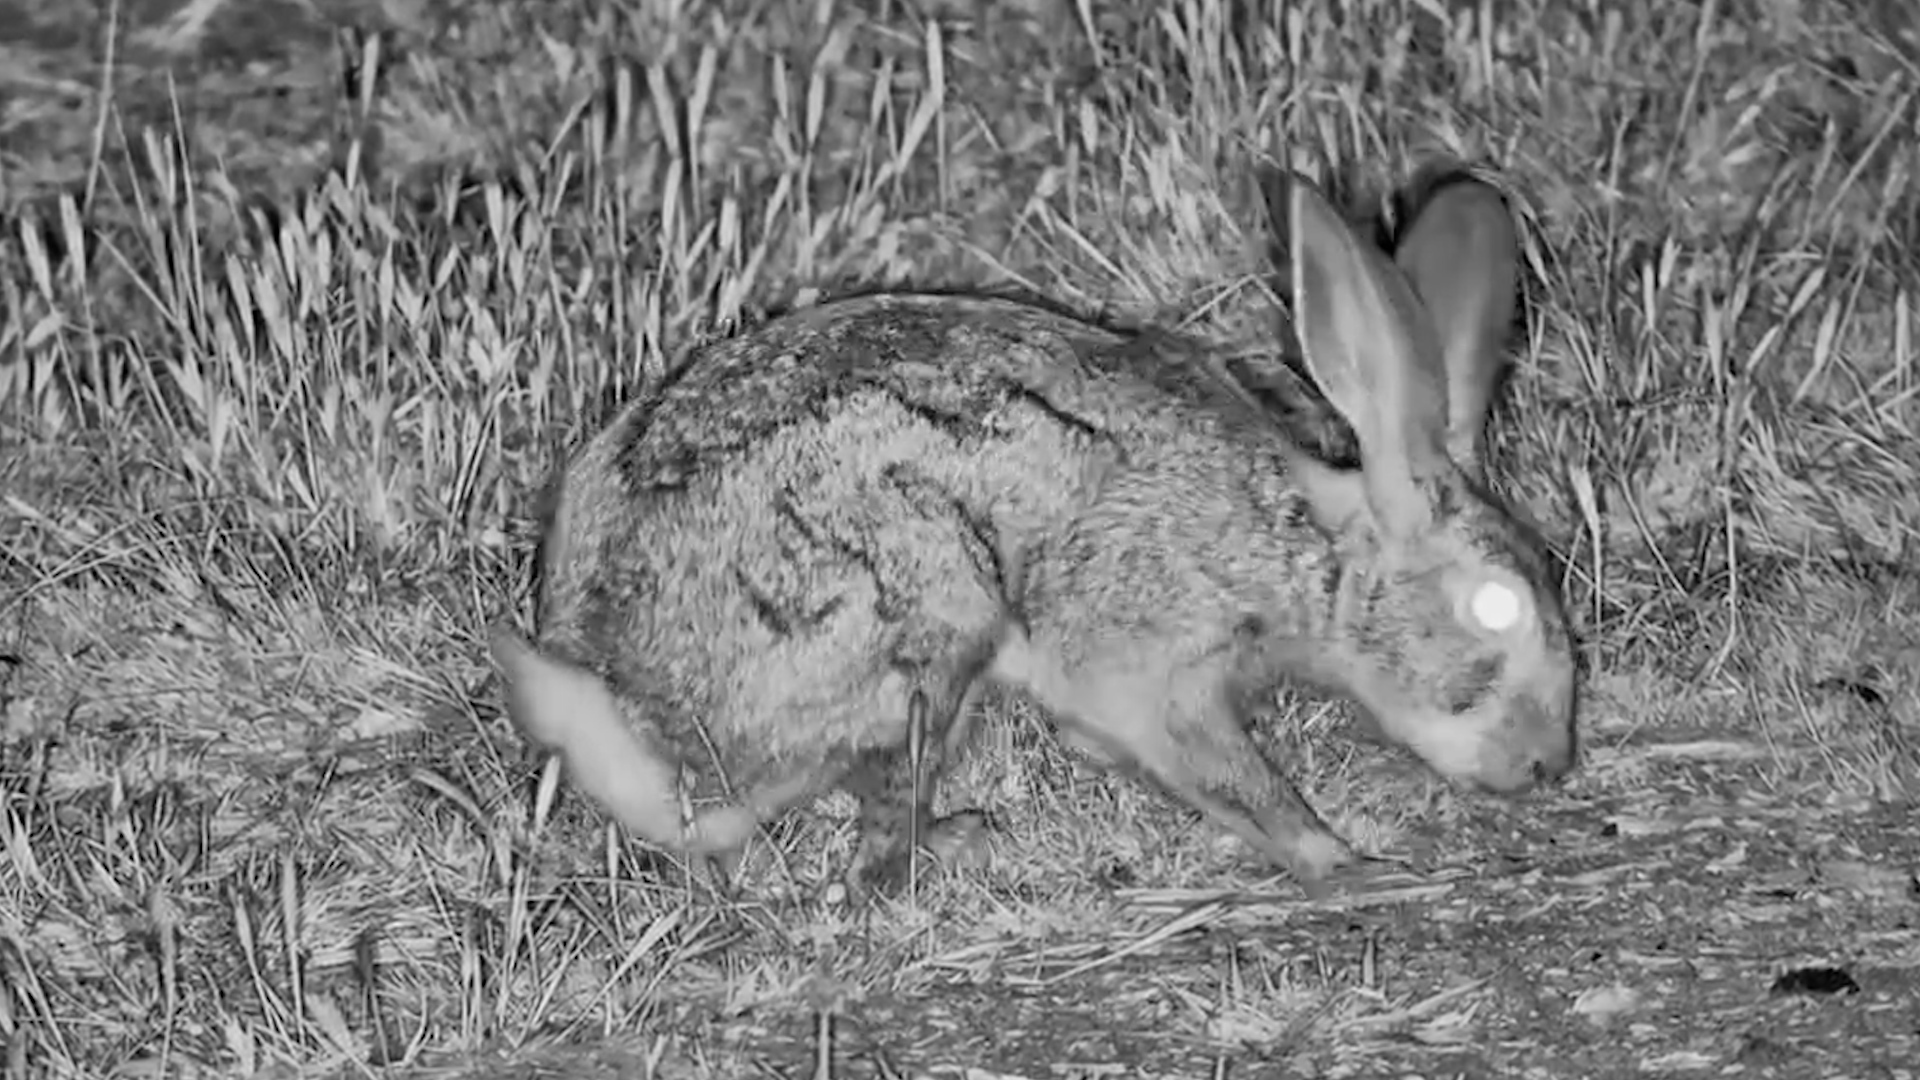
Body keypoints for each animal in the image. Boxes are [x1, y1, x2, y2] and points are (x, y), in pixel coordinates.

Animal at [491, 164, 1579, 895]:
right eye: (1496, 608)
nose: (1549, 766)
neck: (1309, 554)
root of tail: (648, 728)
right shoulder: (1152, 663)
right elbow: (1231, 775)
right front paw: (1347, 862)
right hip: (928, 617)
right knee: (871, 860)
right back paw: (957, 840)